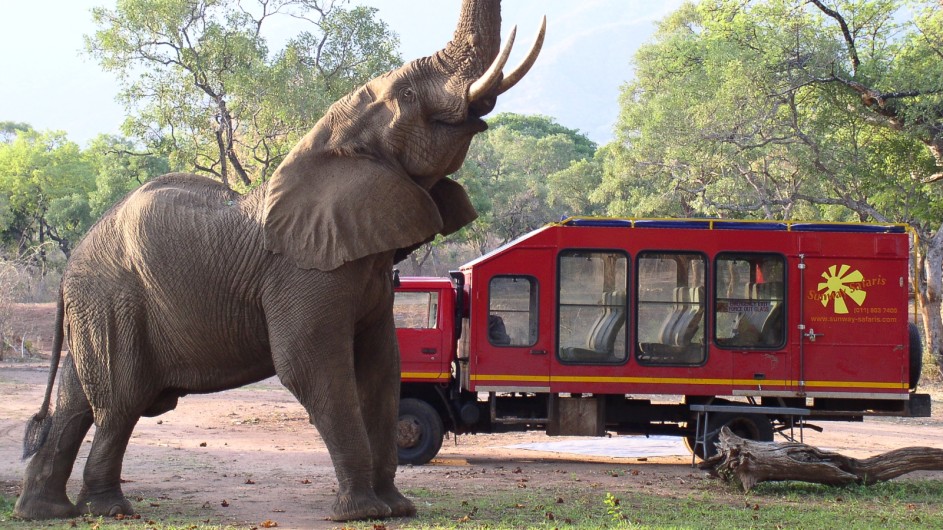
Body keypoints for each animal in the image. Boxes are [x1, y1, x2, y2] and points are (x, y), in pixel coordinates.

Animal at [11, 0, 544, 520]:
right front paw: (362, 512)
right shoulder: (301, 271)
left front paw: (398, 508)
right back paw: (108, 508)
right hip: (114, 301)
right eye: (407, 93)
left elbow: (382, 368)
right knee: (119, 401)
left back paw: (45, 512)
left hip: (96, 305)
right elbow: (312, 366)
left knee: (77, 400)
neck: (326, 145)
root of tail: (69, 269)